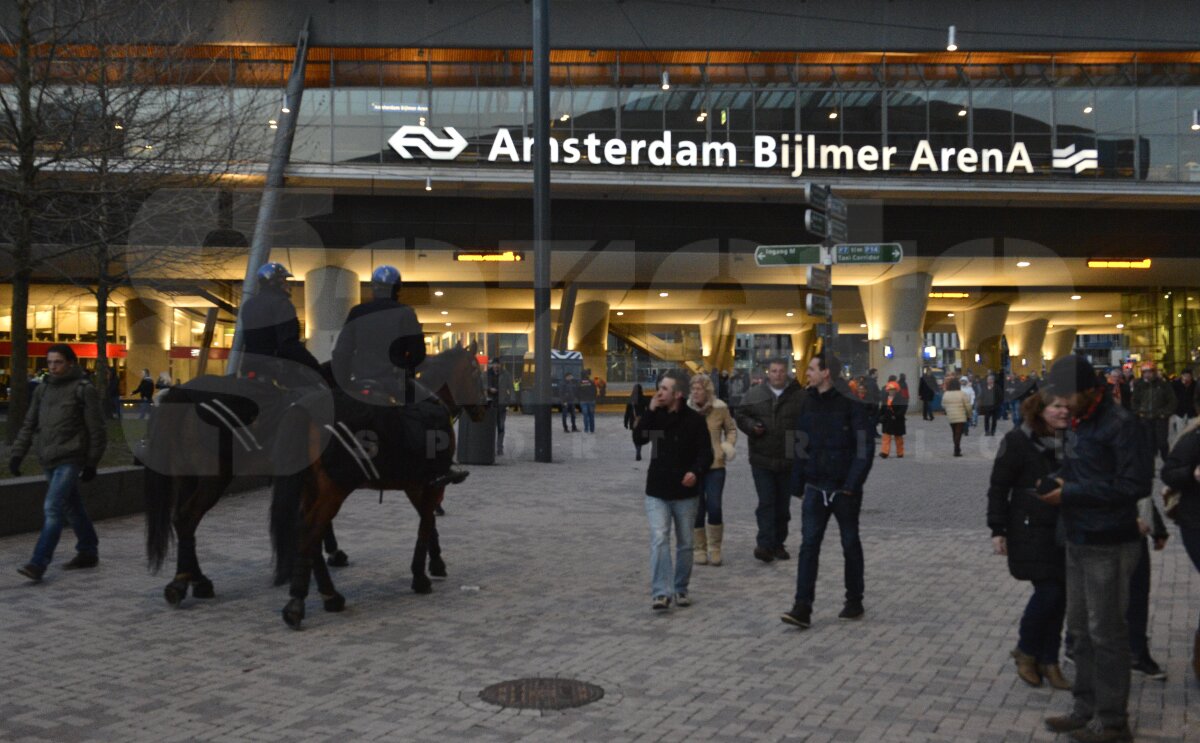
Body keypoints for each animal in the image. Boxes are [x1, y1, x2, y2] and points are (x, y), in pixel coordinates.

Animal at [272, 343, 487, 628]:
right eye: (475, 371)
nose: (484, 407)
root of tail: (307, 407)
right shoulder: (431, 484)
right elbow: (426, 522)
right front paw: (421, 575)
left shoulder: (414, 484)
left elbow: (428, 521)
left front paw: (435, 562)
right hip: (333, 490)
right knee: (310, 531)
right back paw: (300, 602)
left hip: (310, 488)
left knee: (308, 535)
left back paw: (329, 595)